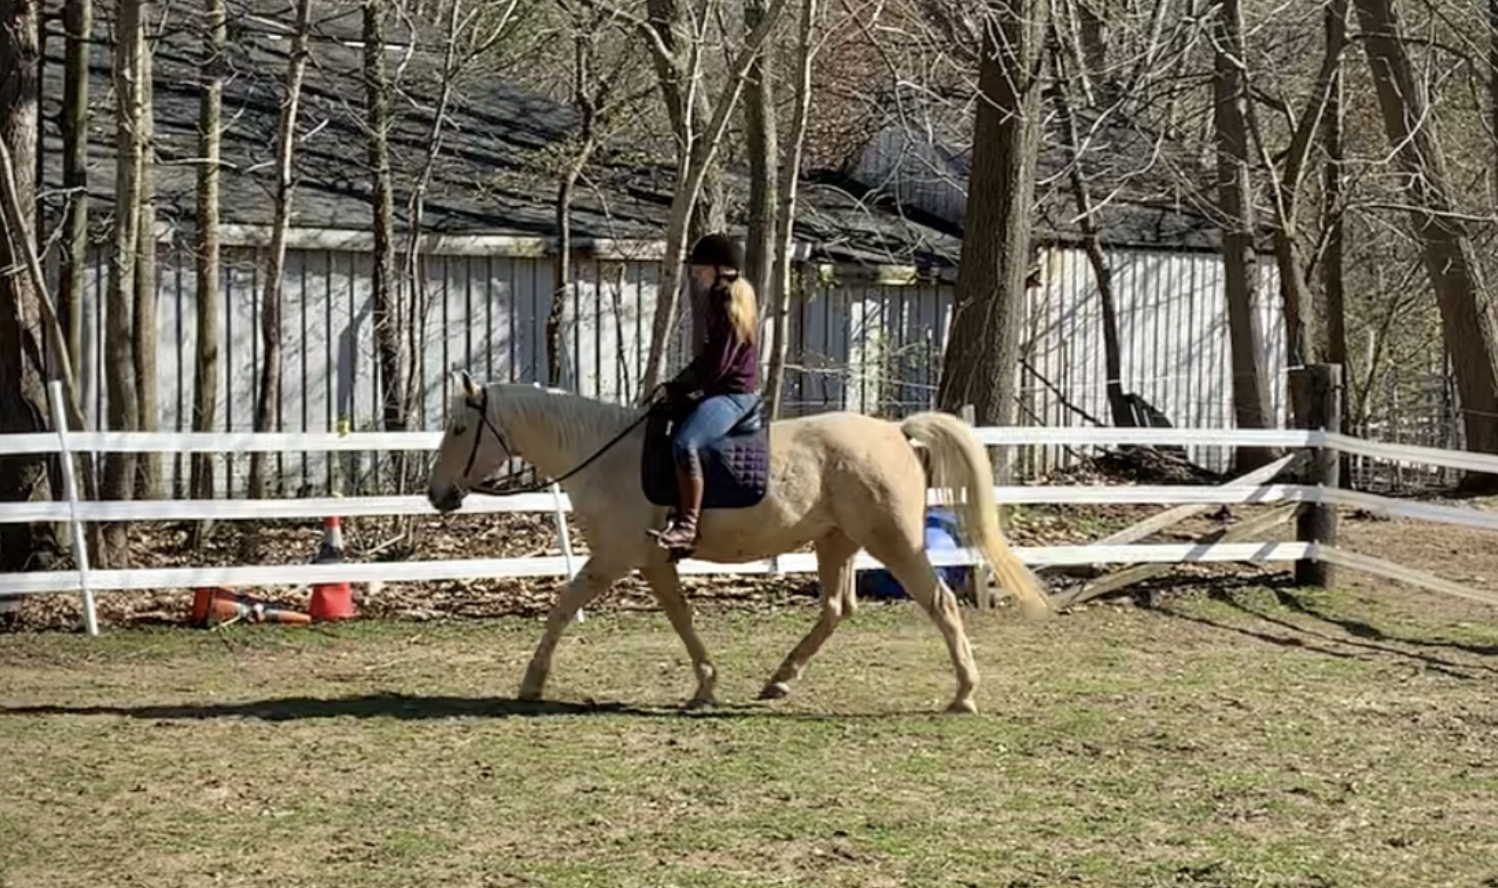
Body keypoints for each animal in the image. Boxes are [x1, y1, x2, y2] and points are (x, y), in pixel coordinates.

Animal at [425, 371, 1051, 714]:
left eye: (459, 429)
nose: (437, 495)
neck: (605, 455)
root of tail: (894, 430)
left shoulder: (616, 557)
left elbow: (563, 606)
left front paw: (532, 682)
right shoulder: (653, 560)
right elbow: (680, 618)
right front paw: (706, 685)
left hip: (894, 542)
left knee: (940, 604)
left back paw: (964, 693)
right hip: (836, 542)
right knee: (835, 608)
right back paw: (779, 680)